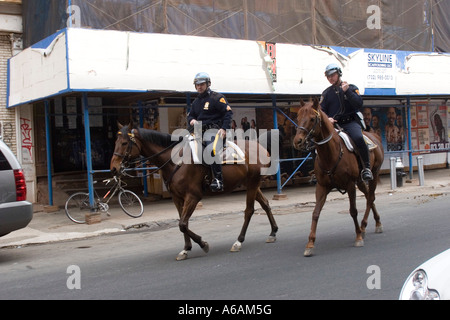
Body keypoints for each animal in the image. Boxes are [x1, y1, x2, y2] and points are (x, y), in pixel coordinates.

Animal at [110, 122, 278, 260]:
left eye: (124, 143)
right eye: (115, 142)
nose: (113, 168)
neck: (175, 161)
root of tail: (260, 146)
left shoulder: (193, 196)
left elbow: (183, 224)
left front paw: (203, 244)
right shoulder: (177, 198)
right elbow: (182, 222)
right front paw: (186, 249)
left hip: (252, 183)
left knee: (249, 210)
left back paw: (238, 241)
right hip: (251, 184)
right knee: (265, 204)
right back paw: (273, 232)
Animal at [292, 100, 384, 258]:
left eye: (312, 119)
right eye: (297, 117)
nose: (298, 141)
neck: (331, 153)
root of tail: (374, 136)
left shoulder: (350, 185)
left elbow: (353, 210)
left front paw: (358, 237)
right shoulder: (322, 187)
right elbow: (315, 213)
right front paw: (310, 244)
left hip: (374, 174)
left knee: (370, 198)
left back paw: (365, 226)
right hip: (360, 181)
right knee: (368, 196)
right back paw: (373, 223)